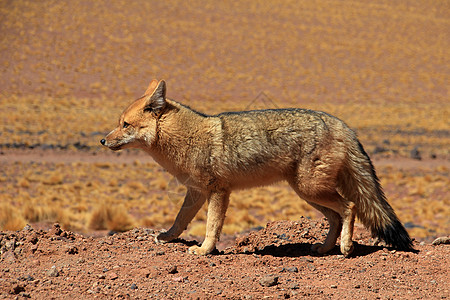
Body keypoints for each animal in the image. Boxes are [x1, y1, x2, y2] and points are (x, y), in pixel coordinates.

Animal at [102, 80, 414, 258]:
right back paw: (325, 248)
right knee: (336, 217)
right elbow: (180, 220)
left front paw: (204, 251)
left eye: (125, 125)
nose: (103, 140)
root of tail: (342, 125)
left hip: (311, 189)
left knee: (349, 207)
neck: (184, 136)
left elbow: (212, 225)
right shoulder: (196, 192)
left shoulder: (218, 191)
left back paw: (346, 249)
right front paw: (168, 237)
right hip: (308, 193)